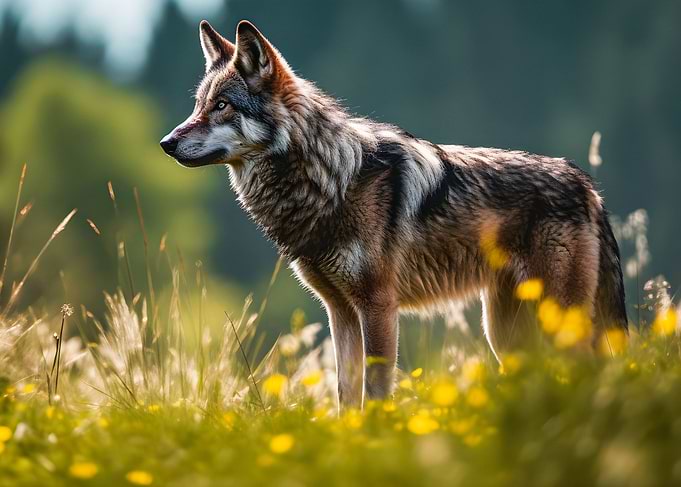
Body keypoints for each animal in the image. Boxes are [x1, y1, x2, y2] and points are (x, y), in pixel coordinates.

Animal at [160, 20, 628, 409]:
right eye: (199, 105)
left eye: (223, 106)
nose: (165, 143)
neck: (331, 177)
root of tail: (587, 185)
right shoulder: (340, 312)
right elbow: (347, 395)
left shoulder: (378, 306)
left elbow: (377, 392)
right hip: (506, 336)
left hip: (556, 325)